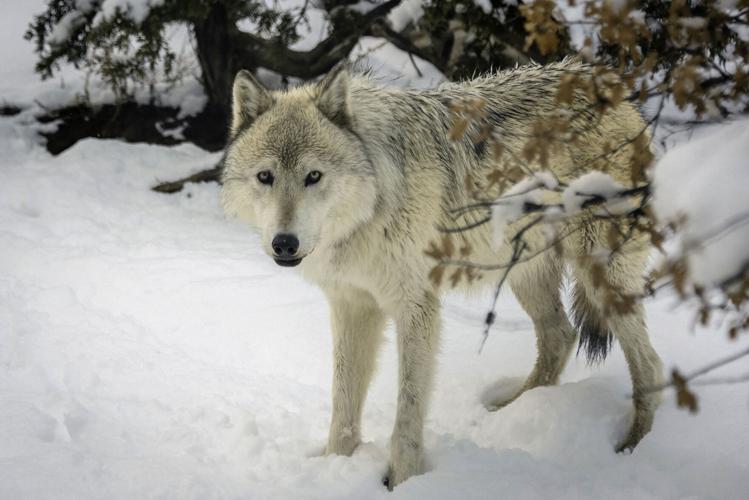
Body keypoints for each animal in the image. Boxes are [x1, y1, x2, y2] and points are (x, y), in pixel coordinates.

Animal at [220, 59, 664, 489]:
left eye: (313, 176)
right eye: (265, 177)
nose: (284, 243)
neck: (368, 212)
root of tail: (610, 85)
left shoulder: (416, 307)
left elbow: (407, 413)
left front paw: (401, 480)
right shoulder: (351, 305)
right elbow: (343, 403)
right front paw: (335, 465)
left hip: (601, 278)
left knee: (650, 366)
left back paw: (631, 446)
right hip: (524, 274)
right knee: (561, 335)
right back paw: (510, 410)